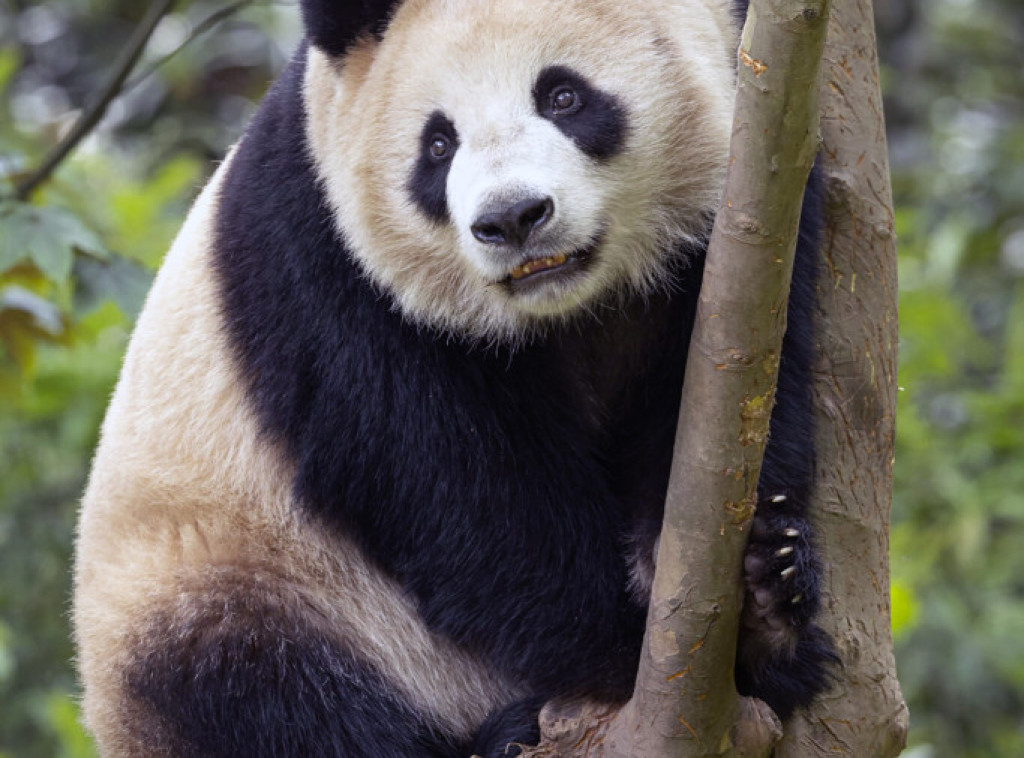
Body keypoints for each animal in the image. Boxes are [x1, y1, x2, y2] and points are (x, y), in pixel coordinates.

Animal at [73, 0, 835, 755]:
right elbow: (458, 488)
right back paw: (499, 736)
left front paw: (761, 602)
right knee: (263, 695)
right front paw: (628, 648)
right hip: (230, 579)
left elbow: (731, 395)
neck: (567, 306)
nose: (513, 218)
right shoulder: (327, 262)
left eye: (563, 96)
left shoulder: (761, 197)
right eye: (437, 144)